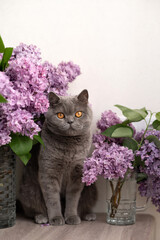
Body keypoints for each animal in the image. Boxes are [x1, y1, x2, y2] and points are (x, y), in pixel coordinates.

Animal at [20, 89, 97, 225]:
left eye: (78, 114)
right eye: (60, 115)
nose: (70, 121)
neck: (69, 148)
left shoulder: (77, 173)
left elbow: (73, 198)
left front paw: (71, 217)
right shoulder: (48, 171)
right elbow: (52, 198)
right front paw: (56, 218)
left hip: (91, 188)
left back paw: (89, 215)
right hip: (28, 189)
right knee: (31, 210)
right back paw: (41, 217)